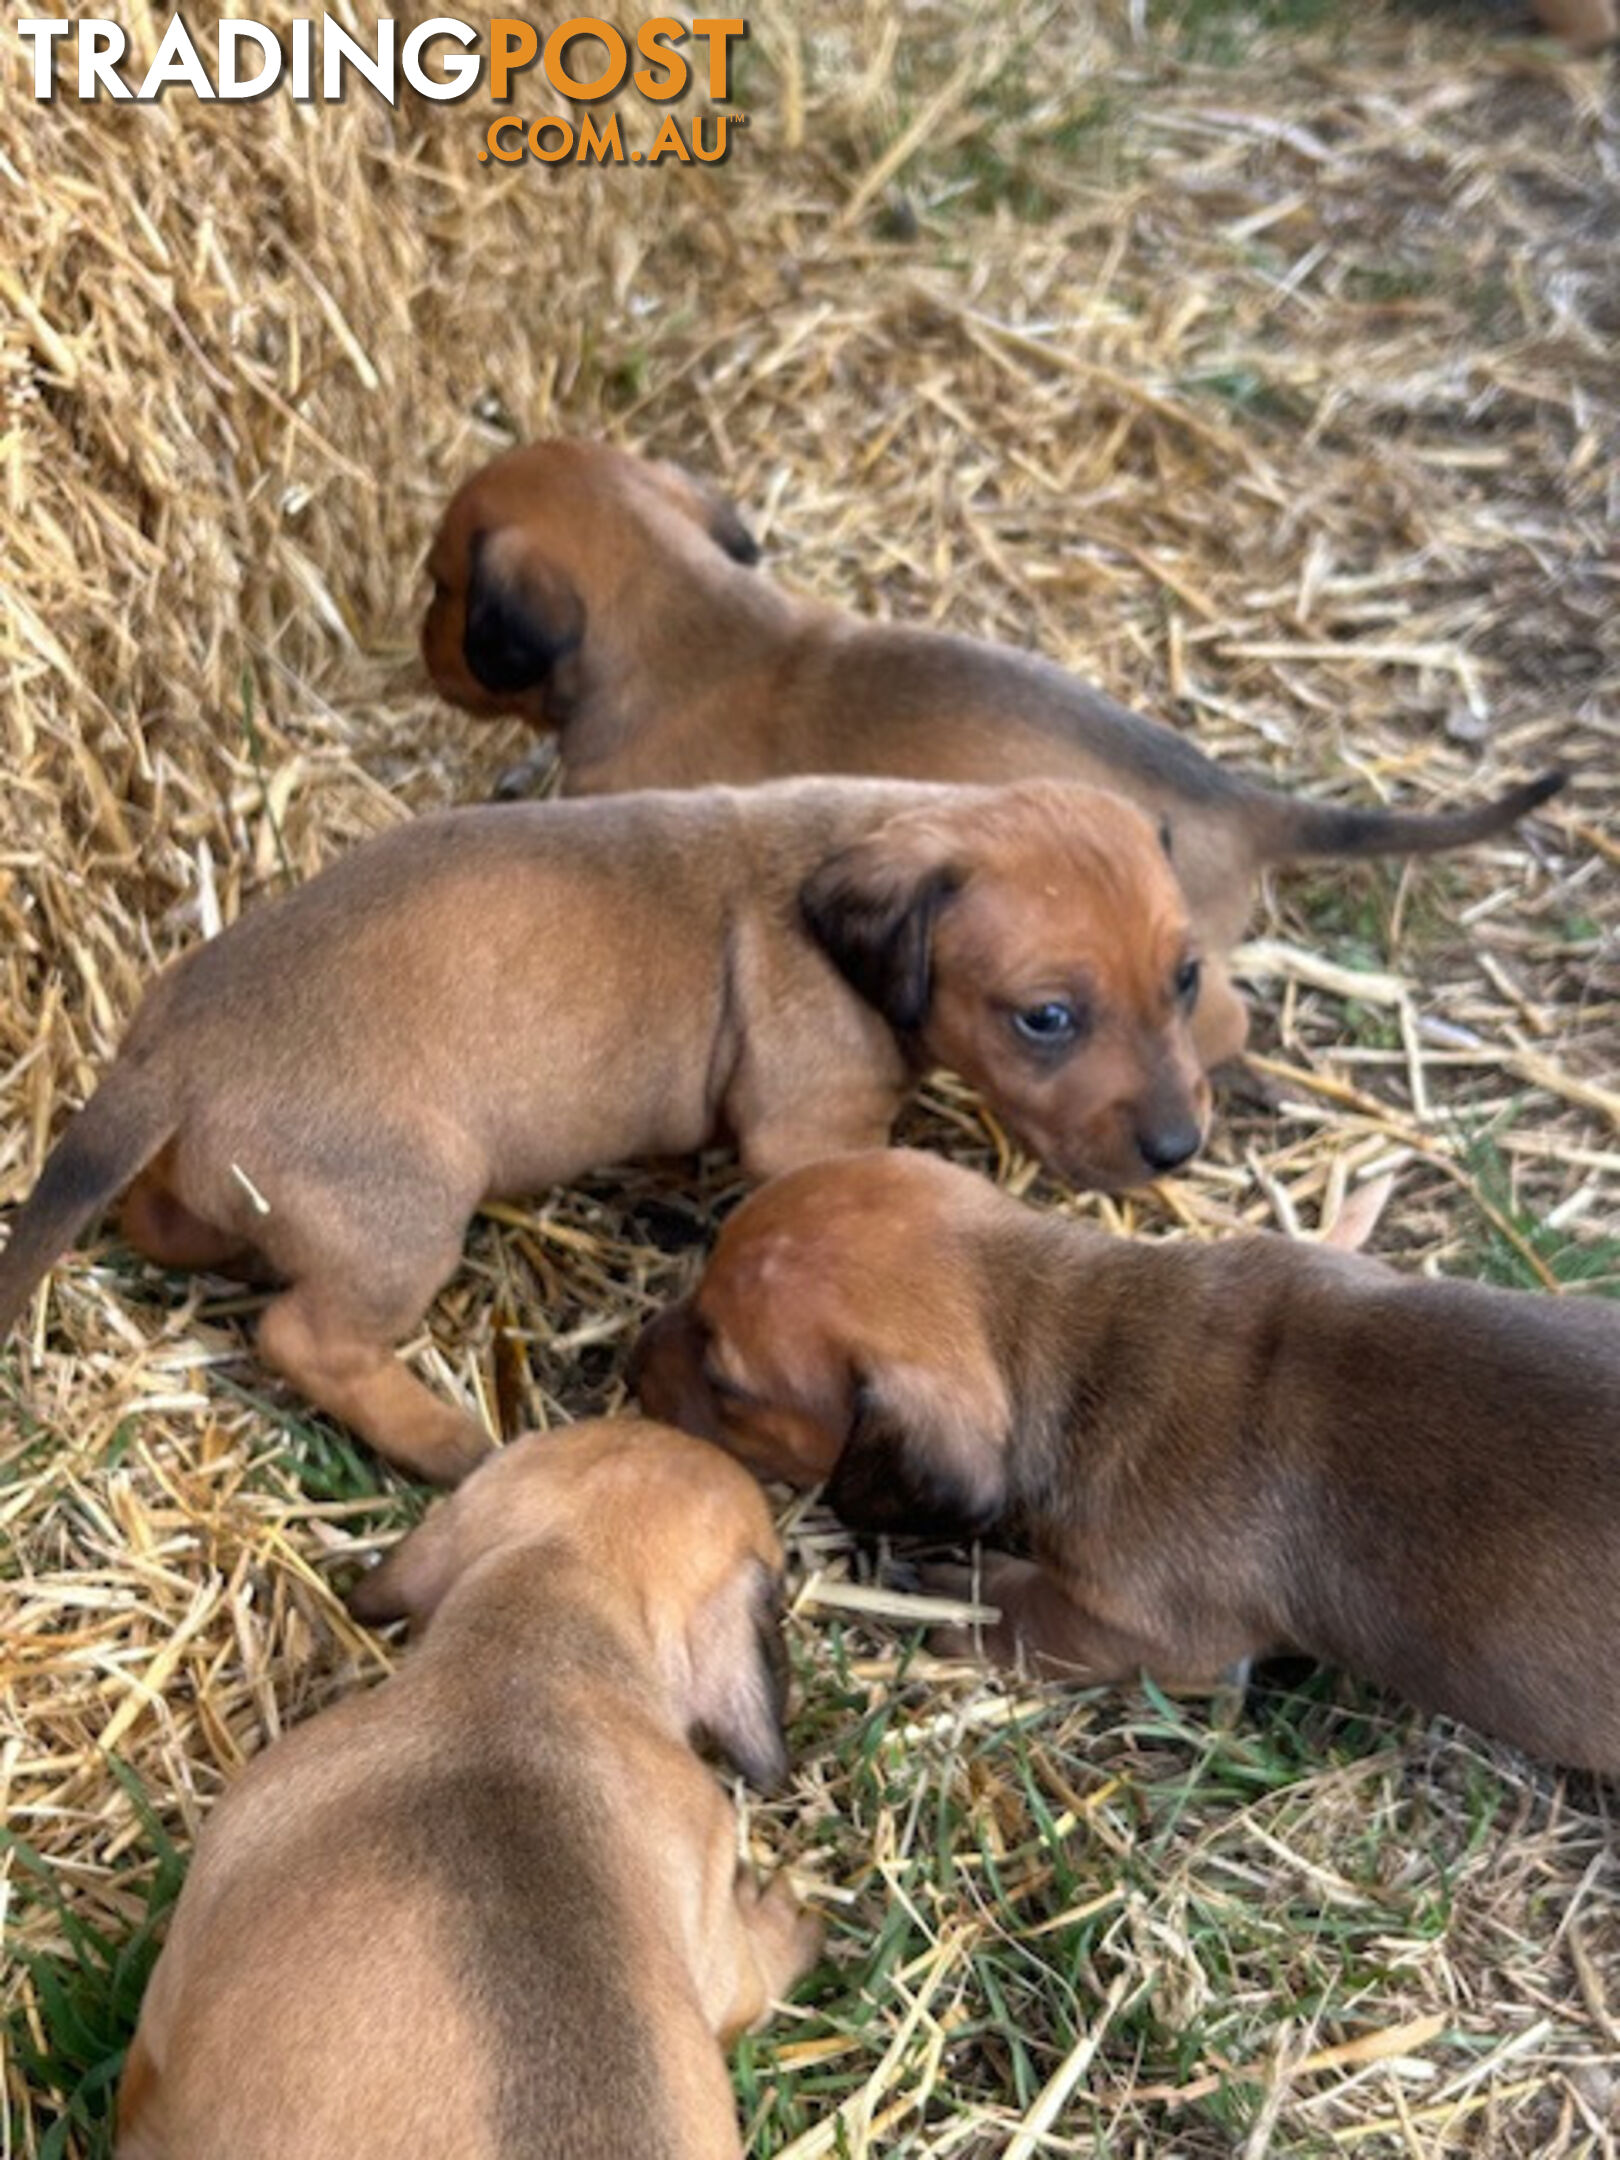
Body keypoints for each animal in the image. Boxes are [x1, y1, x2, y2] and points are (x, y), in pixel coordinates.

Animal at [639, 1157, 1620, 1779]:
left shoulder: (1155, 1635)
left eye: (726, 1380)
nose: (625, 1355)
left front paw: (961, 1596)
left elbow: (1028, 1615)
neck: (1093, 1334)